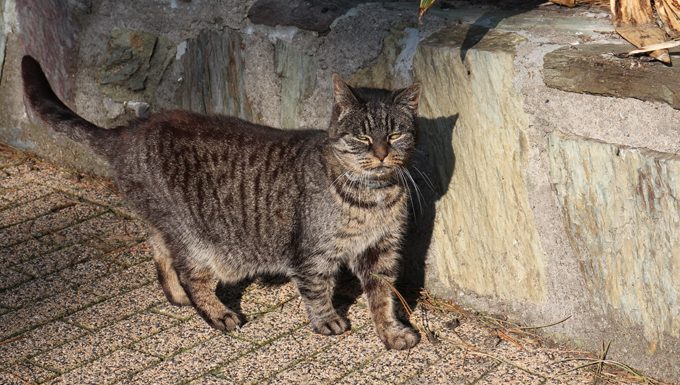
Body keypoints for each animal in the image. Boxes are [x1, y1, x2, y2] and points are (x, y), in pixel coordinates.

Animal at [22, 55, 420, 350]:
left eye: (395, 134)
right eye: (363, 137)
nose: (382, 153)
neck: (373, 196)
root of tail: (128, 131)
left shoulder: (382, 252)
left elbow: (383, 298)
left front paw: (391, 332)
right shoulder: (312, 254)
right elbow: (318, 290)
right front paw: (326, 321)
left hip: (165, 224)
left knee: (160, 254)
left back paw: (177, 296)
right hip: (194, 239)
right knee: (189, 273)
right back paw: (216, 313)